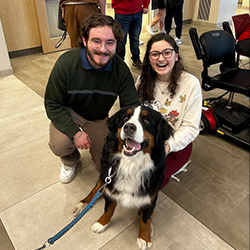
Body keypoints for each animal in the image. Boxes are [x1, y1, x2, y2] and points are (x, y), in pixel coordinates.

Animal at [73, 104, 173, 249]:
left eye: (146, 121)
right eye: (125, 117)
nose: (129, 127)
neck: (130, 164)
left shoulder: (150, 196)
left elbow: (146, 219)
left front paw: (144, 237)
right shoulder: (110, 184)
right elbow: (108, 209)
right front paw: (101, 223)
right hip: (104, 175)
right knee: (95, 190)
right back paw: (82, 204)